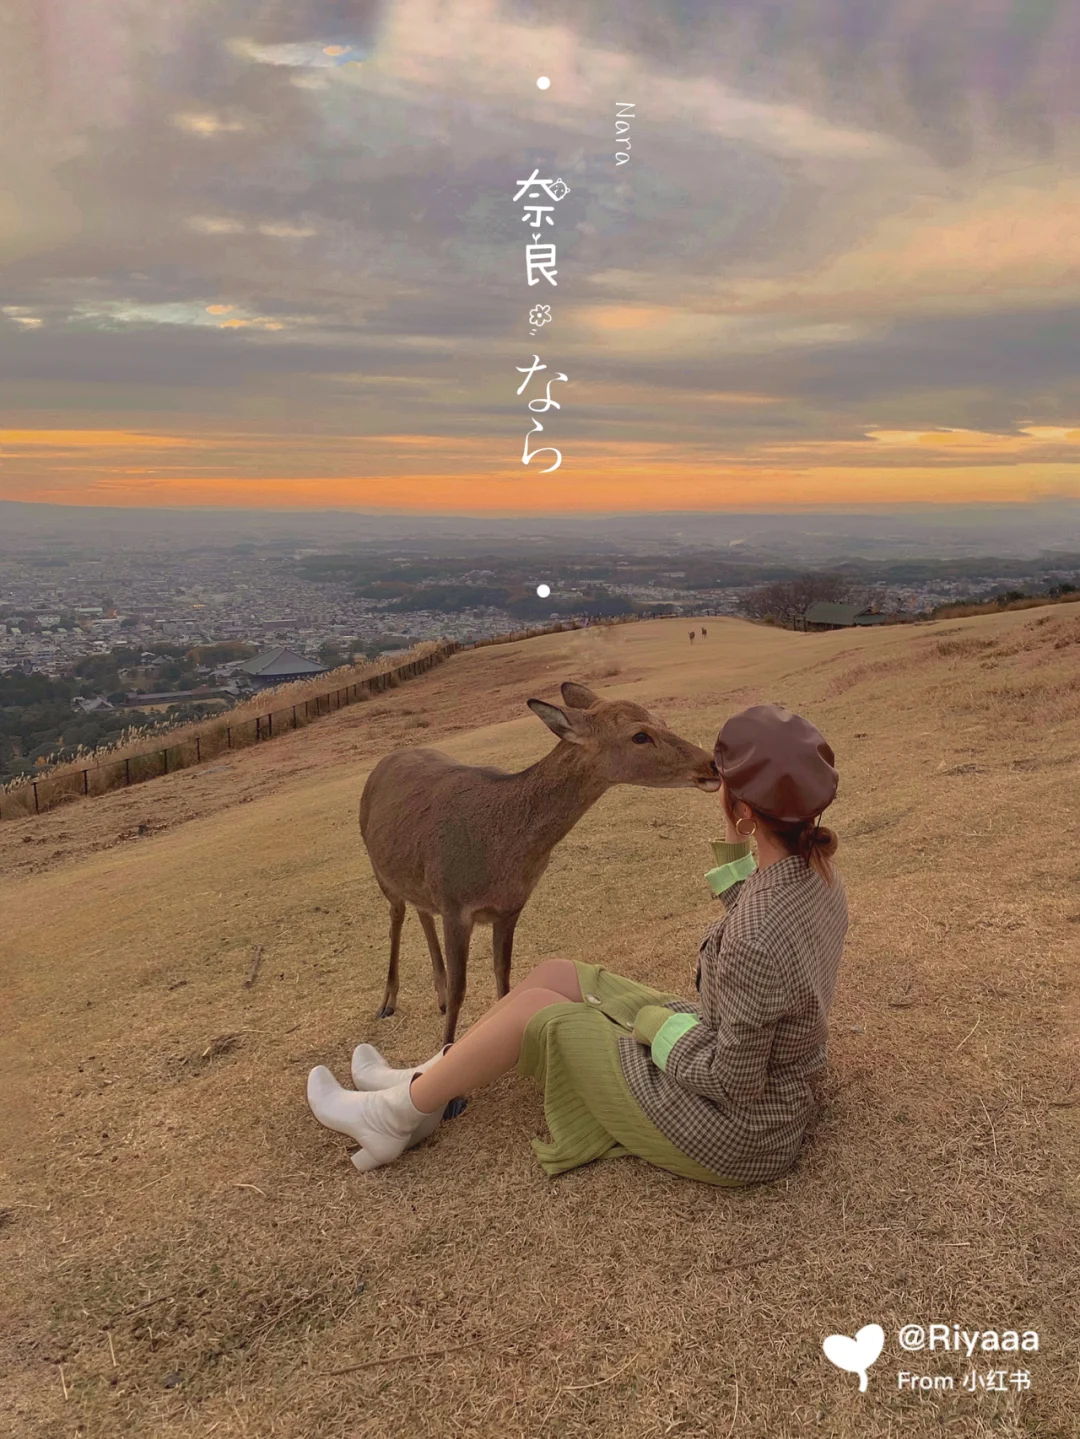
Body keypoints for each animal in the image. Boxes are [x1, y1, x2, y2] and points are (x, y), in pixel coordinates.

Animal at [359, 681, 720, 1045]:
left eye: (662, 720)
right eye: (640, 735)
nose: (711, 765)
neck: (500, 853)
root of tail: (381, 763)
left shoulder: (509, 908)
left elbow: (504, 978)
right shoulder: (454, 903)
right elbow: (462, 988)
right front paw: (446, 1045)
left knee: (421, 911)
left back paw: (439, 997)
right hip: (379, 870)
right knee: (396, 918)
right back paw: (387, 1002)